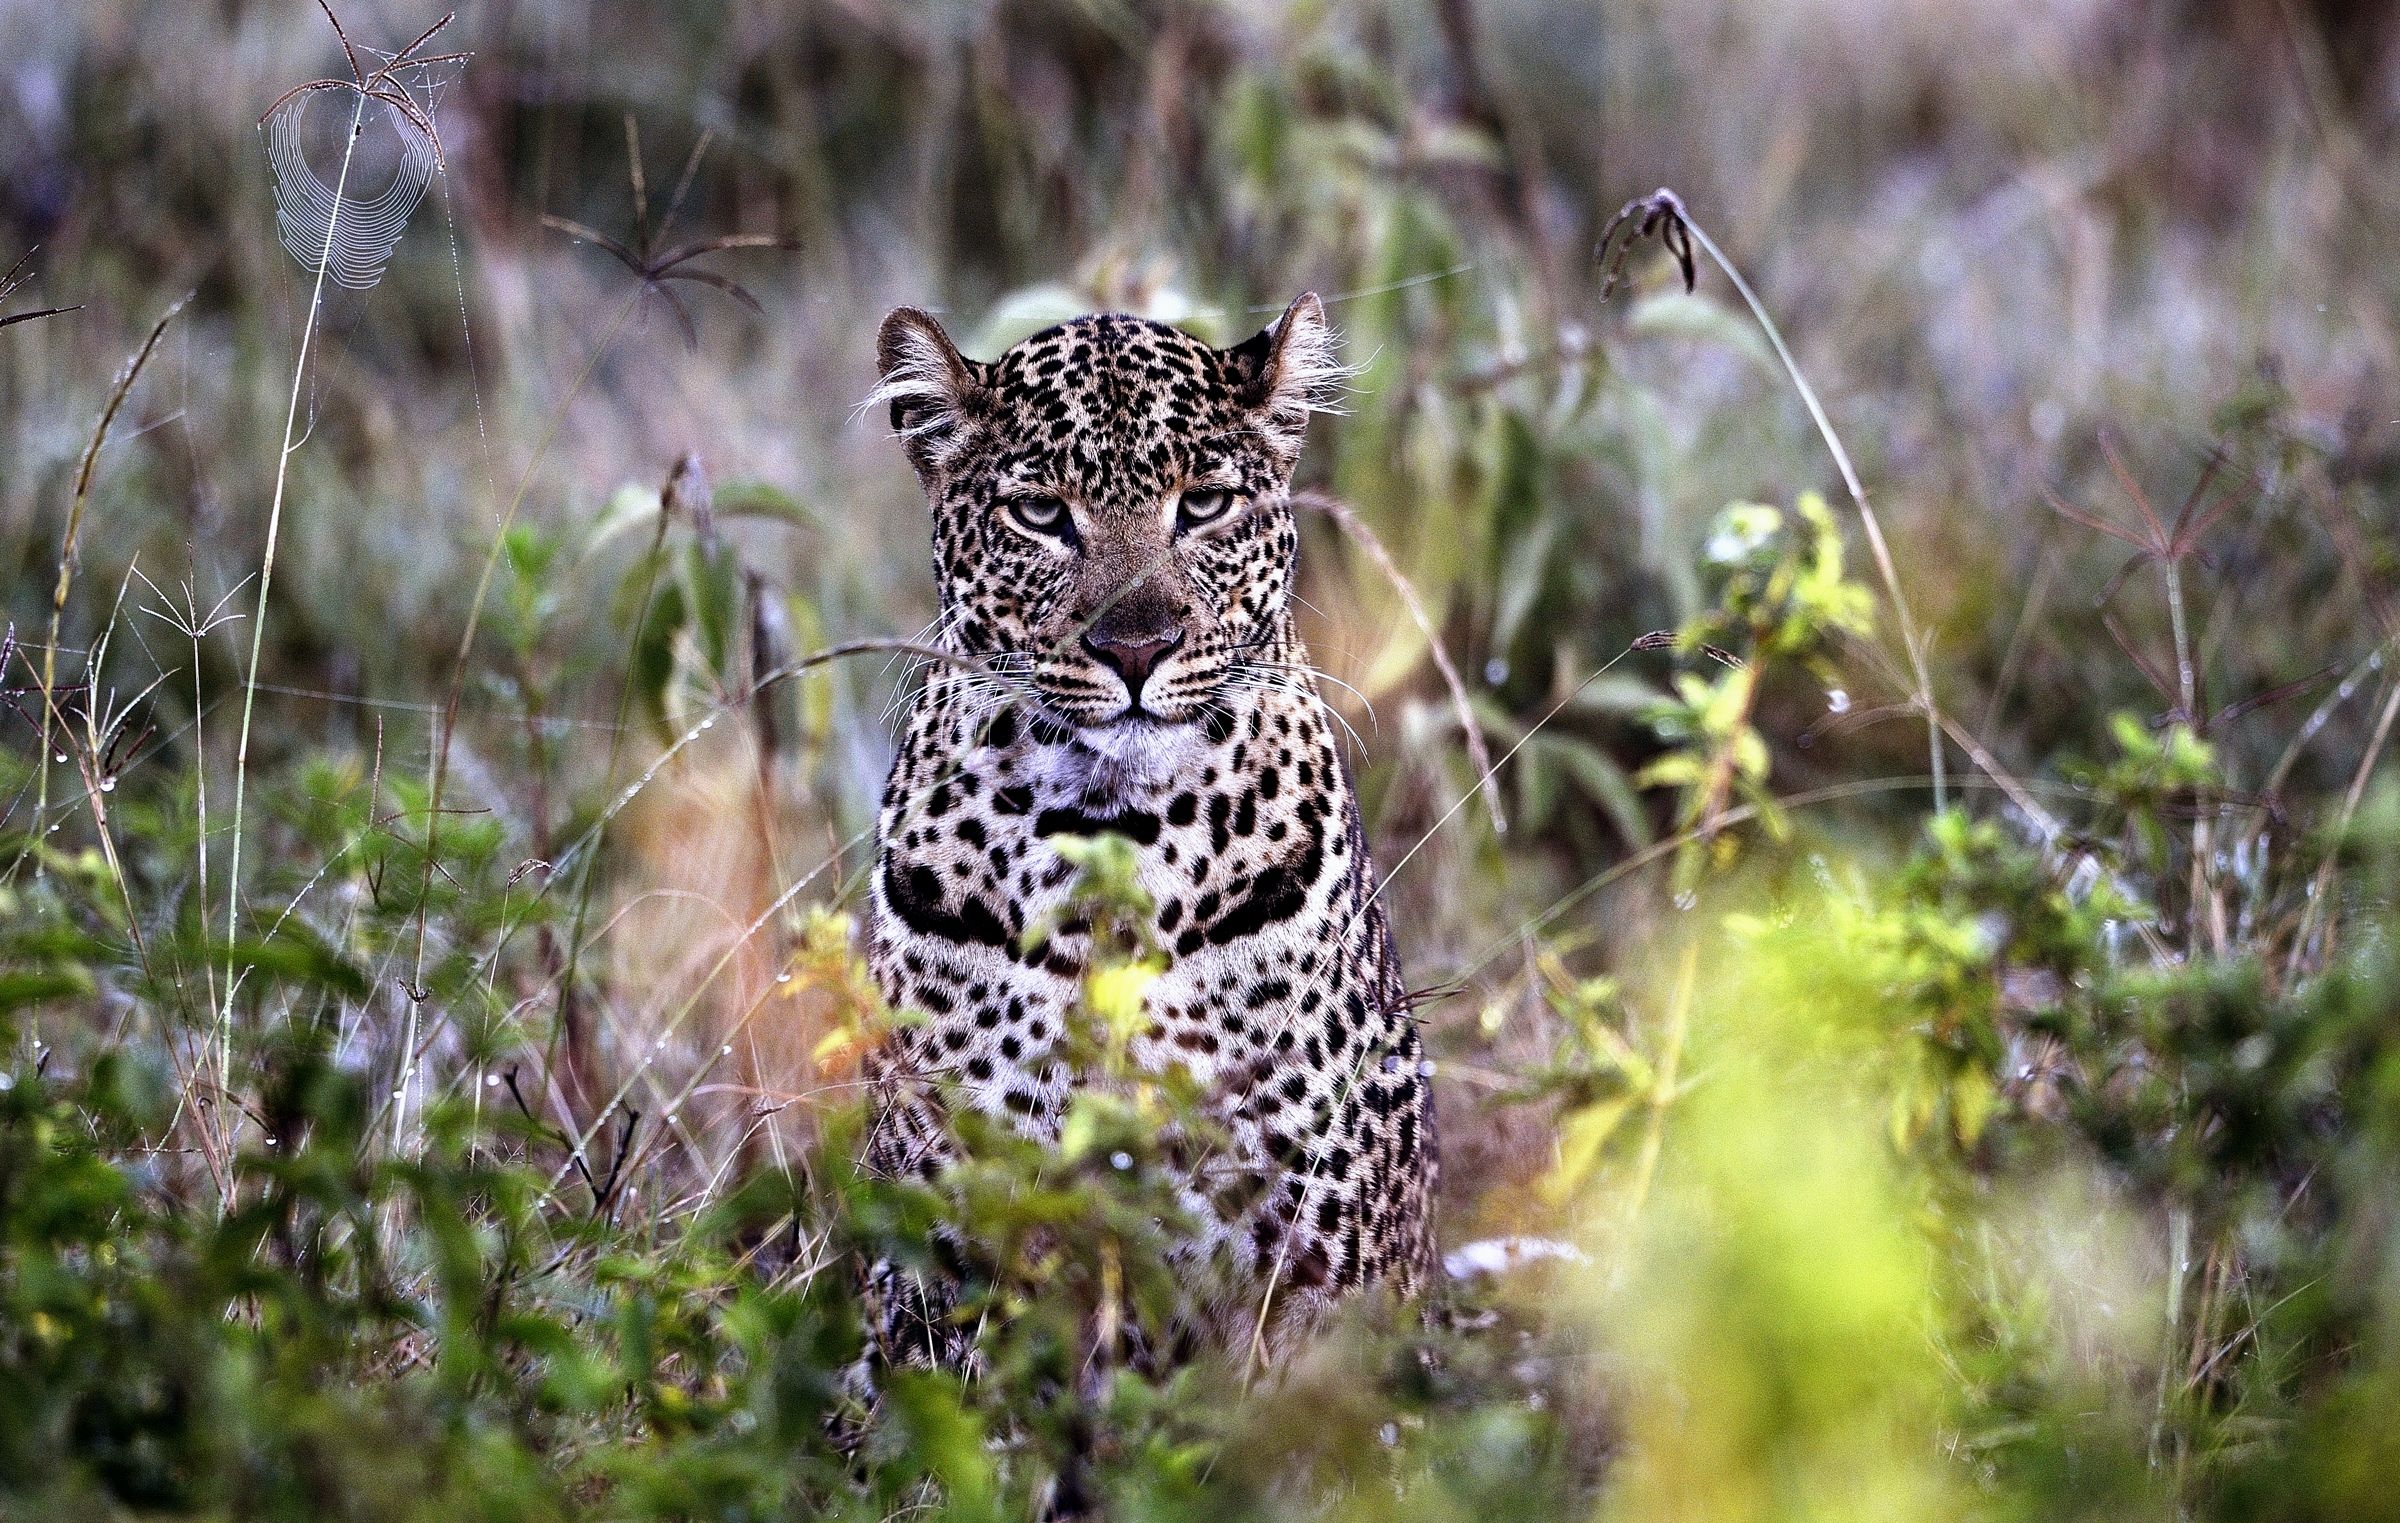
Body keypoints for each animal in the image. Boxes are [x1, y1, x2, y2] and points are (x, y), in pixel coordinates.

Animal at [857, 294, 1434, 1374]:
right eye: (1041, 514)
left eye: (1202, 504)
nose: (1136, 648)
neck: (1110, 830)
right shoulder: (947, 1249)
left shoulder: (1317, 1264)